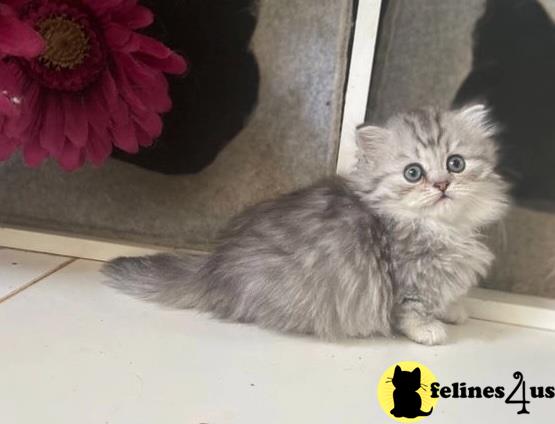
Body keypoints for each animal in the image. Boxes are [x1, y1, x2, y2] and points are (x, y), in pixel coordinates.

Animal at [102, 105, 510, 344]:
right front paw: (429, 329)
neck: (445, 228)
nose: (441, 185)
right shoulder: (409, 281)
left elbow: (447, 296)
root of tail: (213, 268)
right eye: (413, 173)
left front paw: (453, 309)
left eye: (455, 163)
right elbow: (413, 310)